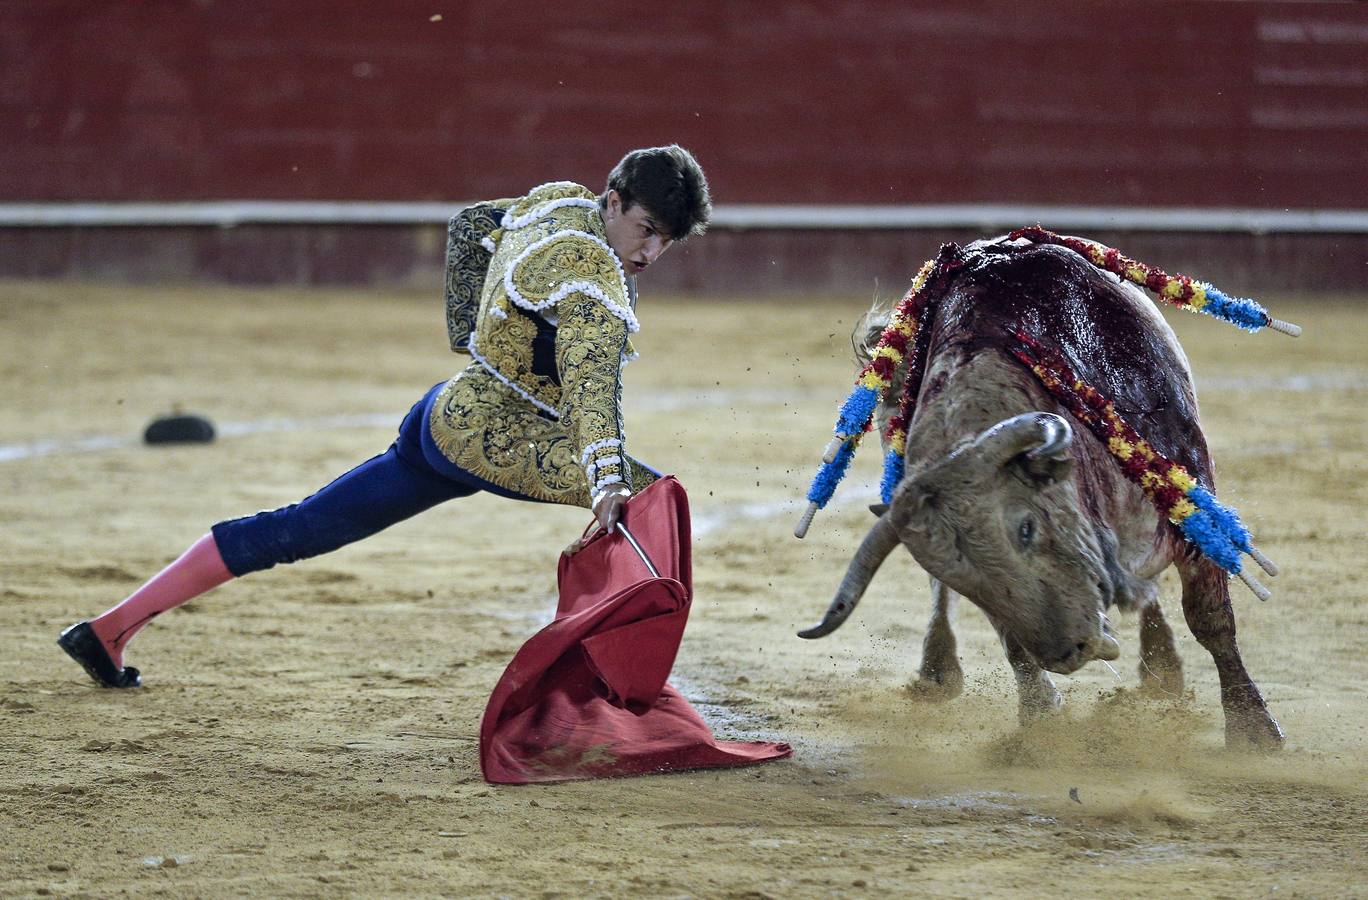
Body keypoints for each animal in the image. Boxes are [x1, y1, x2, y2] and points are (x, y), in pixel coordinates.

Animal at [798, 235, 1285, 744]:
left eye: (1027, 528)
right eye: (967, 577)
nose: (1068, 652)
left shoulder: (1190, 493)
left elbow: (1209, 617)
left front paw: (1253, 729)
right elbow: (1010, 639)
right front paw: (1038, 723)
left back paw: (1163, 671)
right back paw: (938, 670)